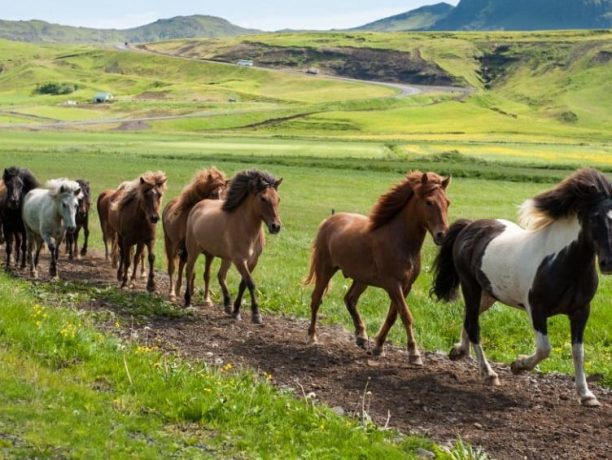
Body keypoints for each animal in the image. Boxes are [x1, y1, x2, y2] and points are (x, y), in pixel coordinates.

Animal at [161, 167, 228, 300]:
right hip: (170, 244)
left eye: (225, 193)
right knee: (173, 267)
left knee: (183, 266)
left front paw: (207, 299)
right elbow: (188, 270)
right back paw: (172, 292)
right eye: (213, 193)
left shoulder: (209, 254)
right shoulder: (187, 249)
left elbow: (206, 275)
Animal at [183, 169, 280, 324]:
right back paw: (187, 301)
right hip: (193, 250)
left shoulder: (252, 261)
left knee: (221, 276)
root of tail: (198, 205)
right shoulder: (239, 260)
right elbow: (250, 283)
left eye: (278, 199)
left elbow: (243, 284)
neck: (246, 227)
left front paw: (235, 311)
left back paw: (228, 305)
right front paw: (256, 314)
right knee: (189, 270)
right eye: (263, 198)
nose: (276, 226)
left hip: (226, 258)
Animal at [304, 171, 450, 364]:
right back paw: (312, 336)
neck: (400, 240)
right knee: (316, 299)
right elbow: (406, 315)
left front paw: (378, 347)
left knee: (350, 299)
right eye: (429, 202)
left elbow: (393, 316)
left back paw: (361, 336)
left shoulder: (406, 286)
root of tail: (329, 220)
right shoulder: (393, 284)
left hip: (361, 279)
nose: (442, 235)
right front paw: (414, 353)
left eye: (447, 202)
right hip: (325, 269)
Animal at [432, 168, 608, 406]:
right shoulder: (537, 309)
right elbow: (544, 349)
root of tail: (469, 227)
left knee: (469, 318)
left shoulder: (581, 311)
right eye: (596, 217)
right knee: (474, 326)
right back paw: (489, 374)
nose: (608, 263)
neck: (561, 262)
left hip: (489, 294)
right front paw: (517, 366)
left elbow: (578, 352)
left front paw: (587, 395)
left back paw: (459, 352)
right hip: (470, 287)